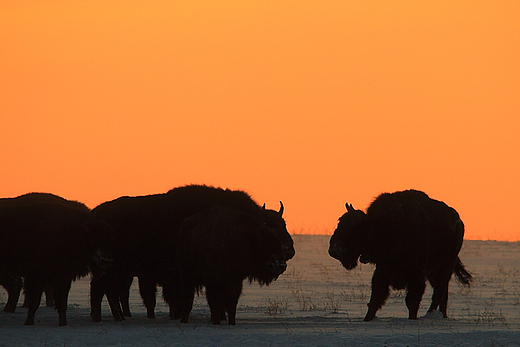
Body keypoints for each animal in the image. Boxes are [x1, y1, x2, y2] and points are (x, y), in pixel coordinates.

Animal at [89, 185, 292, 324]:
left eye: (283, 224)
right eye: (268, 230)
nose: (289, 250)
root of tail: (96, 214)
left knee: (106, 291)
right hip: (115, 270)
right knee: (102, 290)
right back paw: (106, 318)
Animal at [330, 192, 472, 322]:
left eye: (351, 228)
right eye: (340, 223)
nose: (333, 250)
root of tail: (459, 222)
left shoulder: (417, 275)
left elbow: (412, 302)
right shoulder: (382, 271)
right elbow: (375, 299)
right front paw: (367, 319)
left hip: (445, 267)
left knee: (439, 292)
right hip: (435, 272)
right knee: (442, 293)